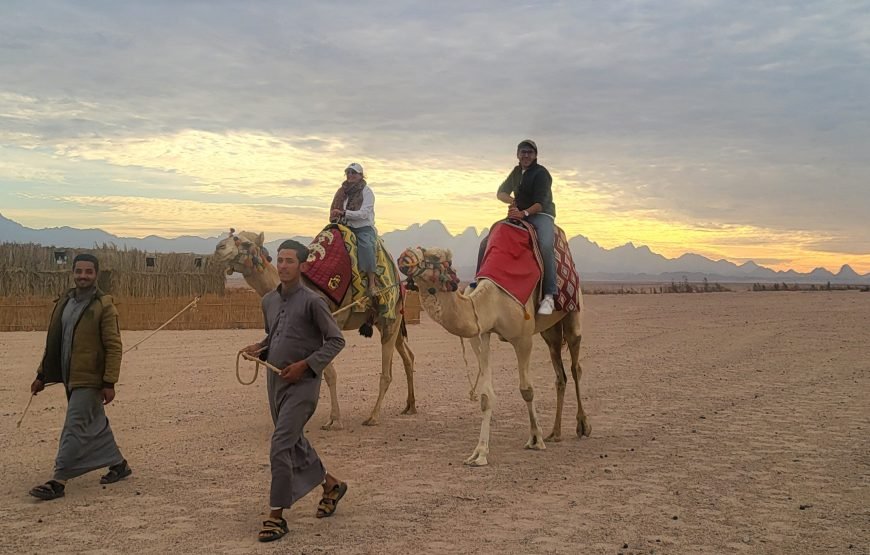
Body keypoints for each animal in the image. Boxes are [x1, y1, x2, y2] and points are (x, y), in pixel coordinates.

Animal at [218, 230, 422, 430]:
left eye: (245, 243)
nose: (219, 248)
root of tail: (398, 280)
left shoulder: (329, 324)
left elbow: (329, 373)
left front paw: (334, 420)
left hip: (390, 314)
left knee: (387, 373)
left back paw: (373, 417)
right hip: (389, 320)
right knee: (408, 356)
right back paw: (410, 406)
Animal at [396, 245, 588, 466]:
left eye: (434, 256)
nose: (404, 257)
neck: (492, 302)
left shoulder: (523, 339)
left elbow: (527, 390)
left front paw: (535, 439)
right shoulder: (483, 334)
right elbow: (486, 397)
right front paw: (479, 454)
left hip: (573, 313)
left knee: (575, 367)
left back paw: (582, 426)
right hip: (550, 332)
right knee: (560, 375)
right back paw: (555, 433)